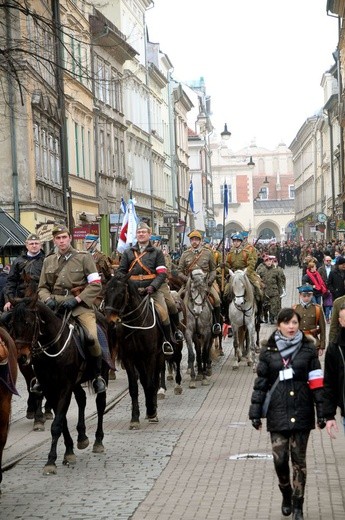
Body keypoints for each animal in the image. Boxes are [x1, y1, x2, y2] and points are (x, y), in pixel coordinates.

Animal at [9, 296, 109, 476]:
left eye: (28, 322)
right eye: (12, 323)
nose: (21, 357)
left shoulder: (64, 388)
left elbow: (57, 424)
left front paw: (50, 461)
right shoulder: (50, 389)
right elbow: (61, 421)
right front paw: (68, 452)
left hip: (101, 373)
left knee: (100, 404)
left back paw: (98, 441)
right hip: (76, 383)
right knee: (82, 399)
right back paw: (82, 437)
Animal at [103, 270, 163, 428]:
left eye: (120, 294)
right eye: (105, 292)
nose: (110, 321)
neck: (136, 325)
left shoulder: (150, 356)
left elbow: (150, 383)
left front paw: (151, 411)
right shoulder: (129, 358)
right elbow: (134, 387)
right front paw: (135, 417)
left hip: (158, 356)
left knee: (154, 380)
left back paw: (153, 407)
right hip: (139, 360)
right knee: (143, 380)